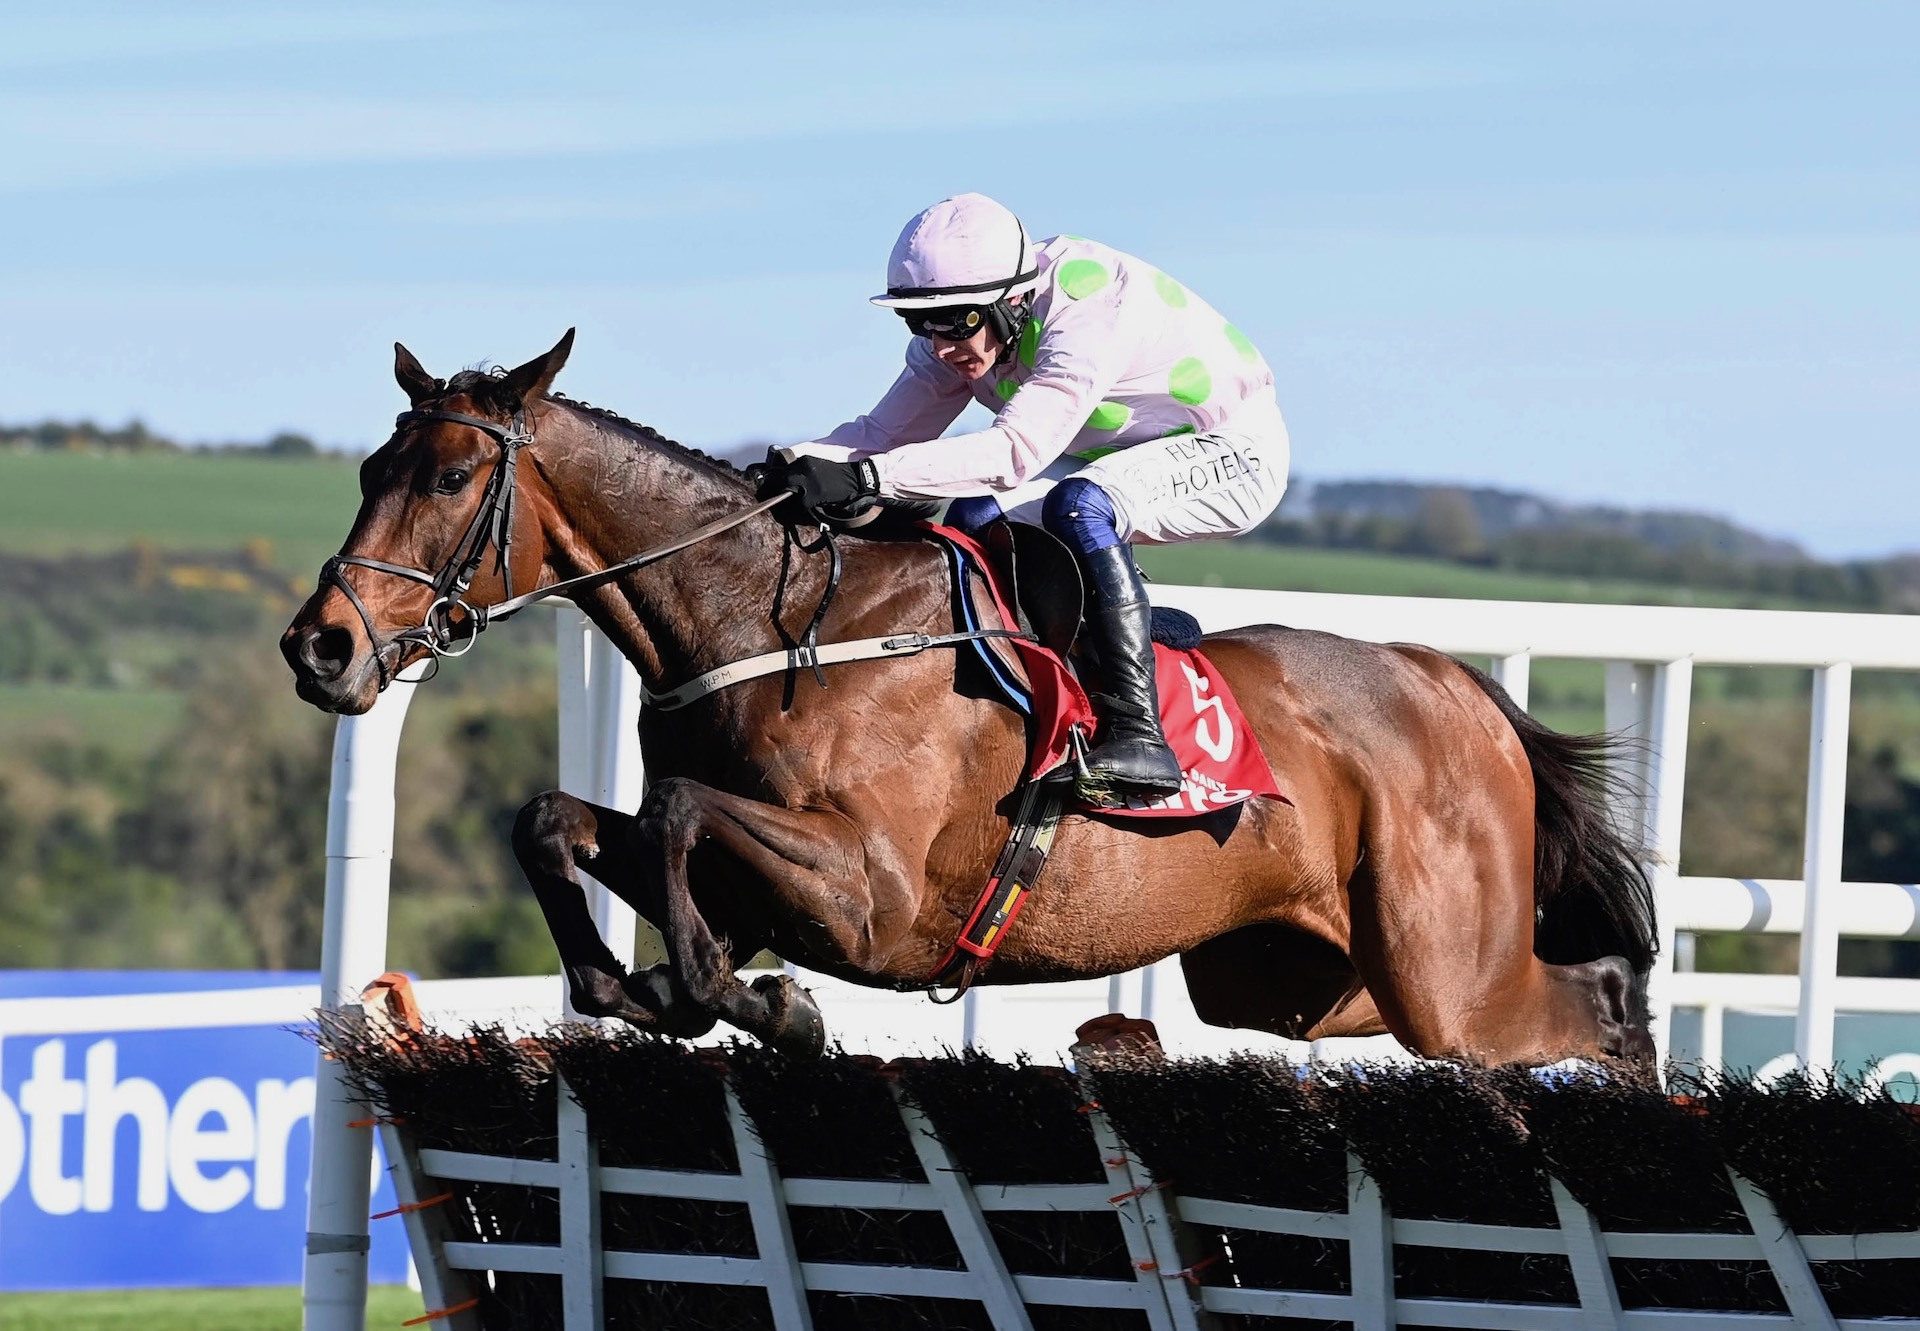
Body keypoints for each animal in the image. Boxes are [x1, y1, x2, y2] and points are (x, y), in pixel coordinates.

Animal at [278, 332, 1658, 1067]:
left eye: (450, 477)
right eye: (369, 467)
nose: (321, 647)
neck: (774, 627)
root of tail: (1457, 687)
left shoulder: (874, 894)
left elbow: (673, 815)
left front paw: (747, 996)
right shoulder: (759, 869)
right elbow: (556, 820)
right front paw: (650, 987)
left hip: (1446, 977)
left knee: (1599, 997)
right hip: (1298, 978)